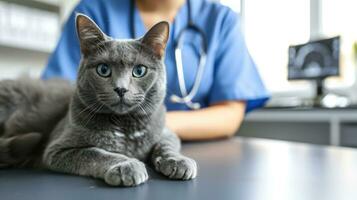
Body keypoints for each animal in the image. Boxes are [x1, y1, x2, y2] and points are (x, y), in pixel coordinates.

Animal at [0, 14, 196, 188]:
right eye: (103, 69)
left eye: (139, 71)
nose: (121, 89)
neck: (125, 127)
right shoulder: (57, 149)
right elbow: (96, 153)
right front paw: (127, 165)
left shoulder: (165, 131)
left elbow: (166, 144)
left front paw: (179, 161)